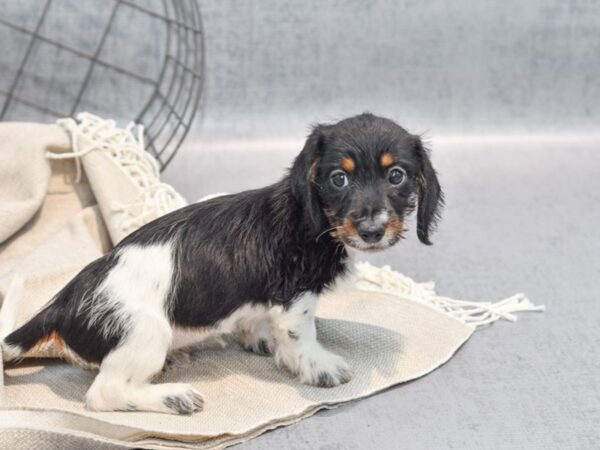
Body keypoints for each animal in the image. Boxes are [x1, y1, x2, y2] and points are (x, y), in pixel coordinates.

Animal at [0, 113, 442, 414]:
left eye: (397, 175)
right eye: (339, 178)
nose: (372, 230)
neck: (310, 219)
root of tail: (63, 303)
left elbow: (263, 323)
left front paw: (261, 339)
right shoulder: (294, 298)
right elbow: (303, 335)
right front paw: (318, 367)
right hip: (144, 331)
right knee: (104, 393)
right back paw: (172, 396)